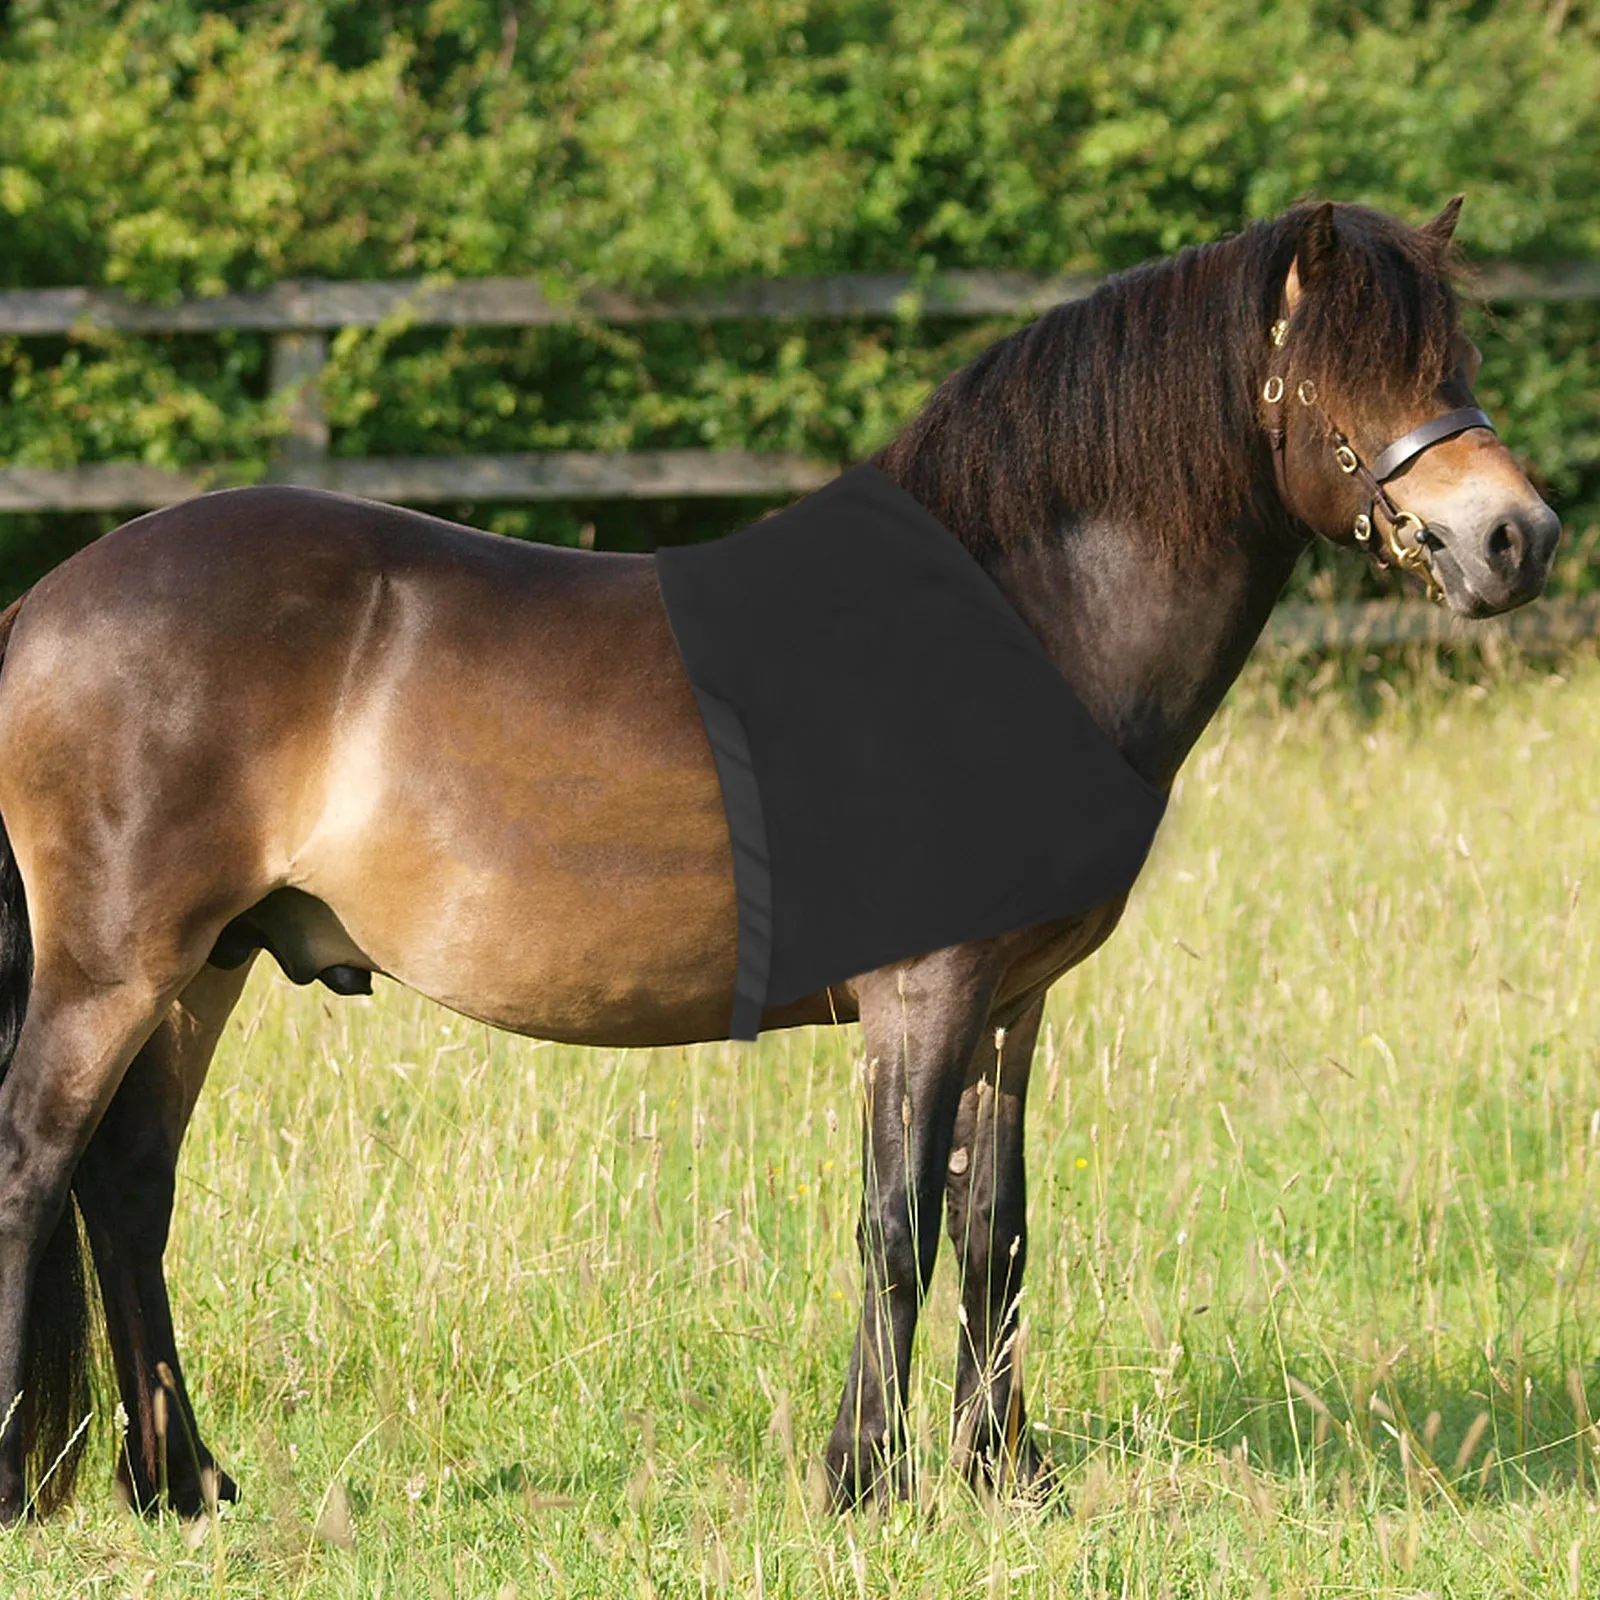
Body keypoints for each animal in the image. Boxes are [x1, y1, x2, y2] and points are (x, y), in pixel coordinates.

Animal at [0, 197, 1559, 1521]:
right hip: (115, 968)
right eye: (1356, 371)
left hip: (205, 968)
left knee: (129, 1188)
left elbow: (994, 1231)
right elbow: (895, 1226)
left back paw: (185, 1484)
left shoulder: (1012, 1003)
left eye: (1458, 355)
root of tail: (48, 601)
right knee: (38, 1158)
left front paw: (1009, 1480)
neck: (1011, 626)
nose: (1515, 538)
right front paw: (863, 1480)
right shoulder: (924, 995)